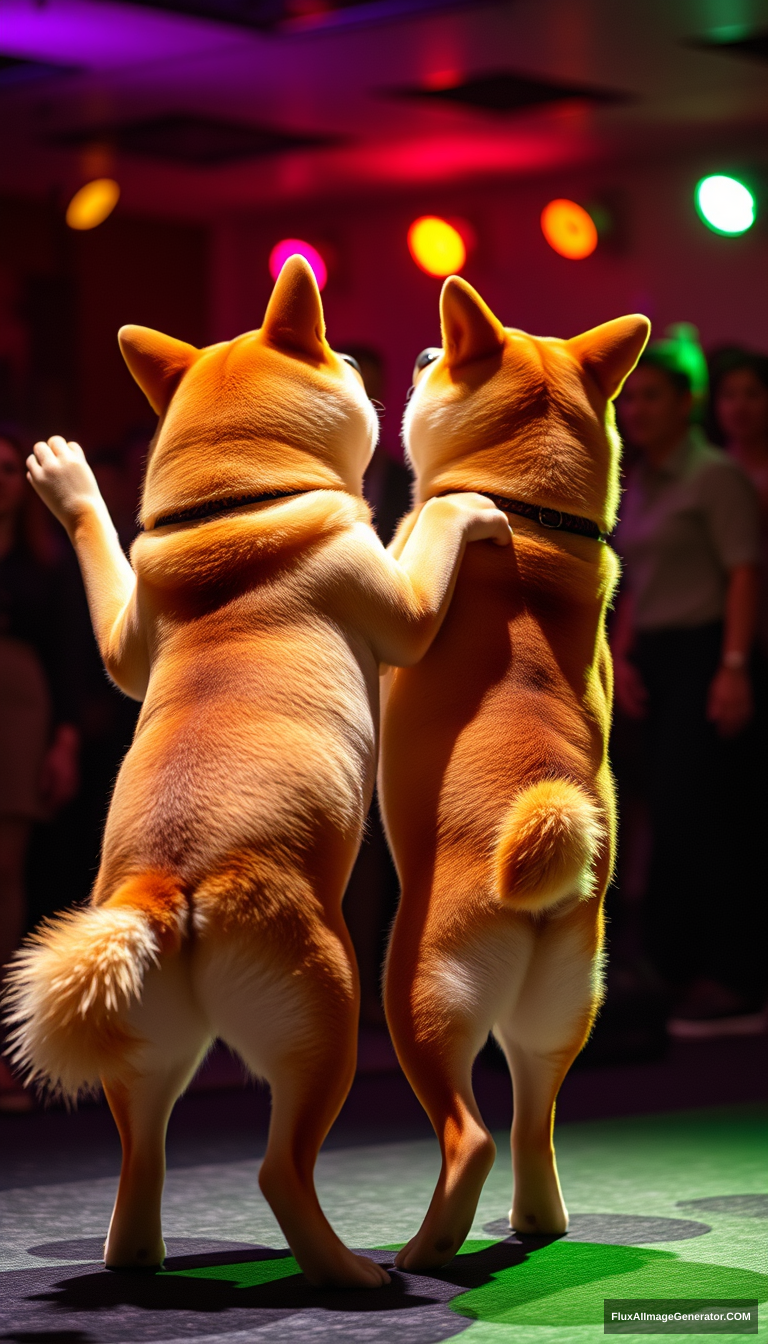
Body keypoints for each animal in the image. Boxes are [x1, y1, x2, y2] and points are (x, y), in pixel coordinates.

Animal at [7, 256, 511, 1284]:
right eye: (347, 364)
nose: (370, 360)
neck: (237, 501)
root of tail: (168, 890)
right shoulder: (399, 605)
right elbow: (428, 540)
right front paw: (464, 505)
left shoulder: (126, 639)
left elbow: (112, 607)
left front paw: (68, 484)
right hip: (326, 1013)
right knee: (282, 1169)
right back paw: (352, 1273)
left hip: (149, 1050)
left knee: (143, 1150)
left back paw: (137, 1255)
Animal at [379, 275, 648, 1268]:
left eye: (437, 358)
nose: (419, 351)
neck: (526, 516)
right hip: (563, 1013)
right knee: (537, 1119)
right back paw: (538, 1219)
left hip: (418, 997)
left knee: (473, 1135)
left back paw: (425, 1251)